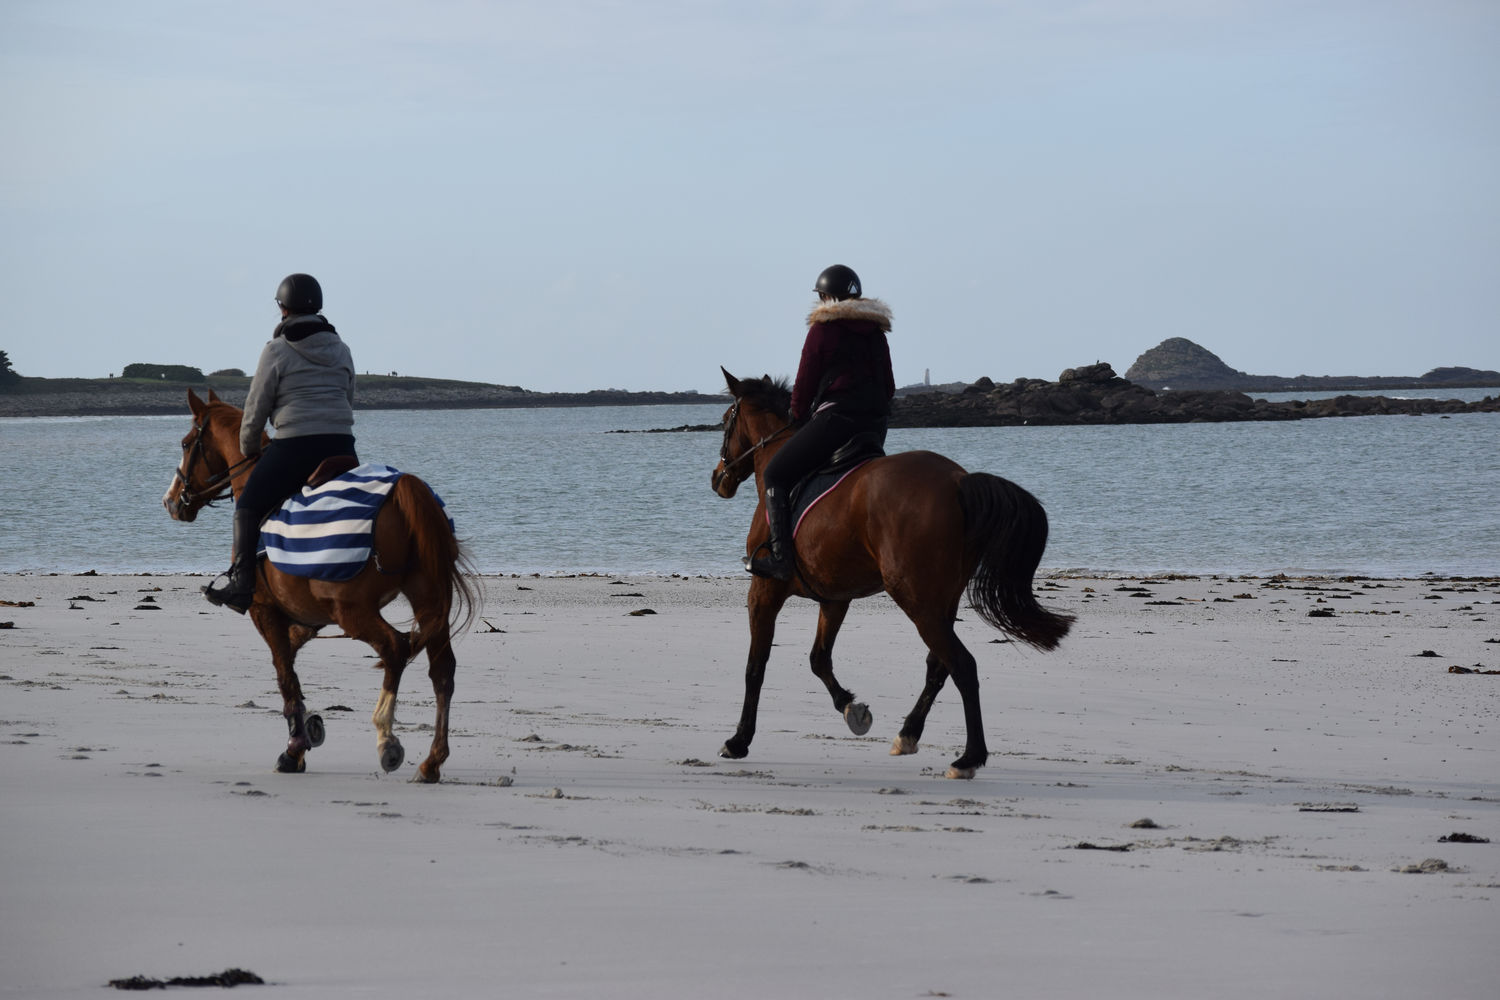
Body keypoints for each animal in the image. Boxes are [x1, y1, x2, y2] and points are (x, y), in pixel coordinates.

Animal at [162, 389, 474, 779]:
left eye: (186, 443)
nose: (171, 500)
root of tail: (404, 487)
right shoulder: (306, 619)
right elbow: (291, 665)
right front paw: (307, 728)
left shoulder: (263, 610)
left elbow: (285, 675)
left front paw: (294, 748)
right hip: (429, 599)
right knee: (442, 670)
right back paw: (432, 761)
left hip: (353, 612)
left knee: (394, 648)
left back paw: (386, 737)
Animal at [711, 370, 1074, 779]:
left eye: (725, 420)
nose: (717, 477)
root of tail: (958, 481)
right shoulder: (834, 597)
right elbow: (819, 658)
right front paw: (852, 709)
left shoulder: (764, 589)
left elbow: (755, 666)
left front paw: (738, 740)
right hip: (940, 600)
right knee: (939, 665)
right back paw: (909, 734)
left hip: (916, 599)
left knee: (962, 665)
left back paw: (969, 757)